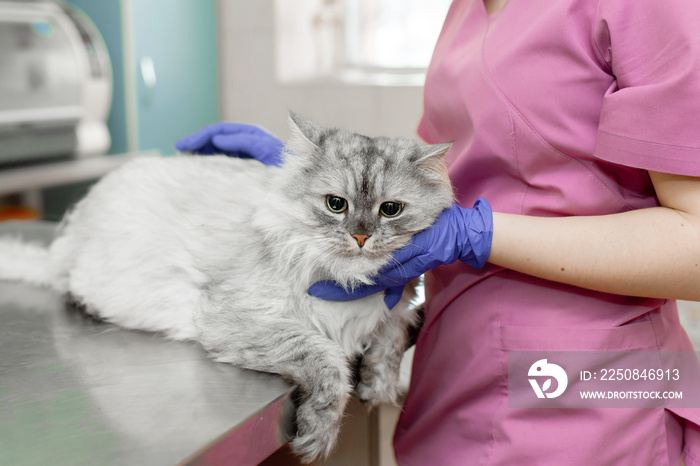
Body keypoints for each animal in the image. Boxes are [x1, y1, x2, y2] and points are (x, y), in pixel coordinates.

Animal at [0, 114, 454, 462]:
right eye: (335, 205)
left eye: (390, 209)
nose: (361, 237)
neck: (348, 282)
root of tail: (70, 233)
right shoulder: (238, 321)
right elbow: (328, 362)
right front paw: (318, 435)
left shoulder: (397, 308)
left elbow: (388, 343)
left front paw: (378, 389)